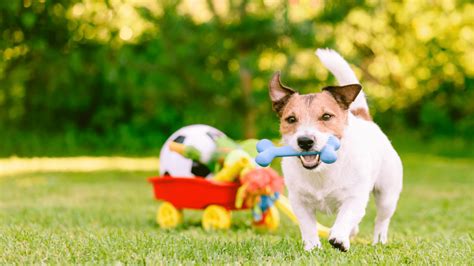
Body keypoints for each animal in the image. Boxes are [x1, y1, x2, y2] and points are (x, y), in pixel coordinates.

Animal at [268, 48, 402, 251]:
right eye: (291, 119)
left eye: (326, 116)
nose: (305, 141)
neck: (322, 170)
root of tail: (364, 118)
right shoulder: (299, 202)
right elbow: (308, 226)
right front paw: (312, 246)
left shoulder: (354, 198)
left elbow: (346, 216)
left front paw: (339, 238)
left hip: (387, 195)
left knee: (381, 220)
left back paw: (378, 239)